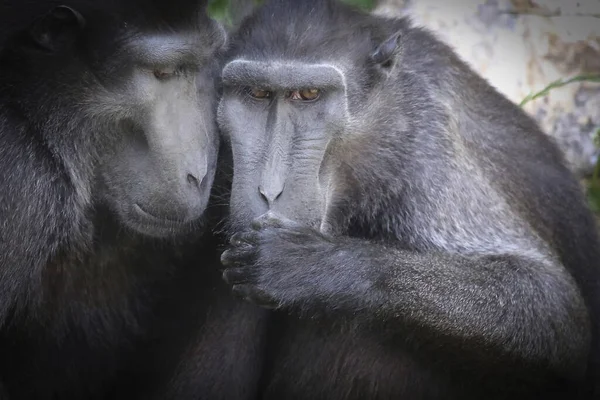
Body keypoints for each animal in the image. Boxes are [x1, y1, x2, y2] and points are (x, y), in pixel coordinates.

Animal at [218, 0, 600, 398]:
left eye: (308, 96)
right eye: (256, 94)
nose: (269, 191)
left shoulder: (425, 148)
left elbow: (550, 299)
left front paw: (315, 266)